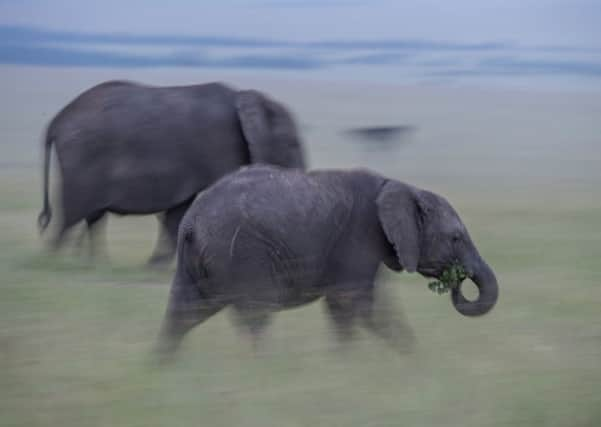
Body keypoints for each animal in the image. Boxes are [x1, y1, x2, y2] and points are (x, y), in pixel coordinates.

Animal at [37, 80, 304, 264]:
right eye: (292, 144)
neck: (247, 96)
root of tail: (55, 122)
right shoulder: (220, 148)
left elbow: (178, 213)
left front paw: (156, 267)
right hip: (82, 159)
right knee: (72, 214)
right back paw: (56, 263)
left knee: (92, 218)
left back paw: (94, 264)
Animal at [155, 164, 496, 358]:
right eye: (456, 238)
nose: (456, 279)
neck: (400, 185)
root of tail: (191, 222)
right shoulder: (360, 235)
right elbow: (356, 305)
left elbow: (366, 305)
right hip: (241, 255)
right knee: (256, 314)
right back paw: (263, 369)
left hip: (197, 262)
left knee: (182, 314)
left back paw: (161, 371)